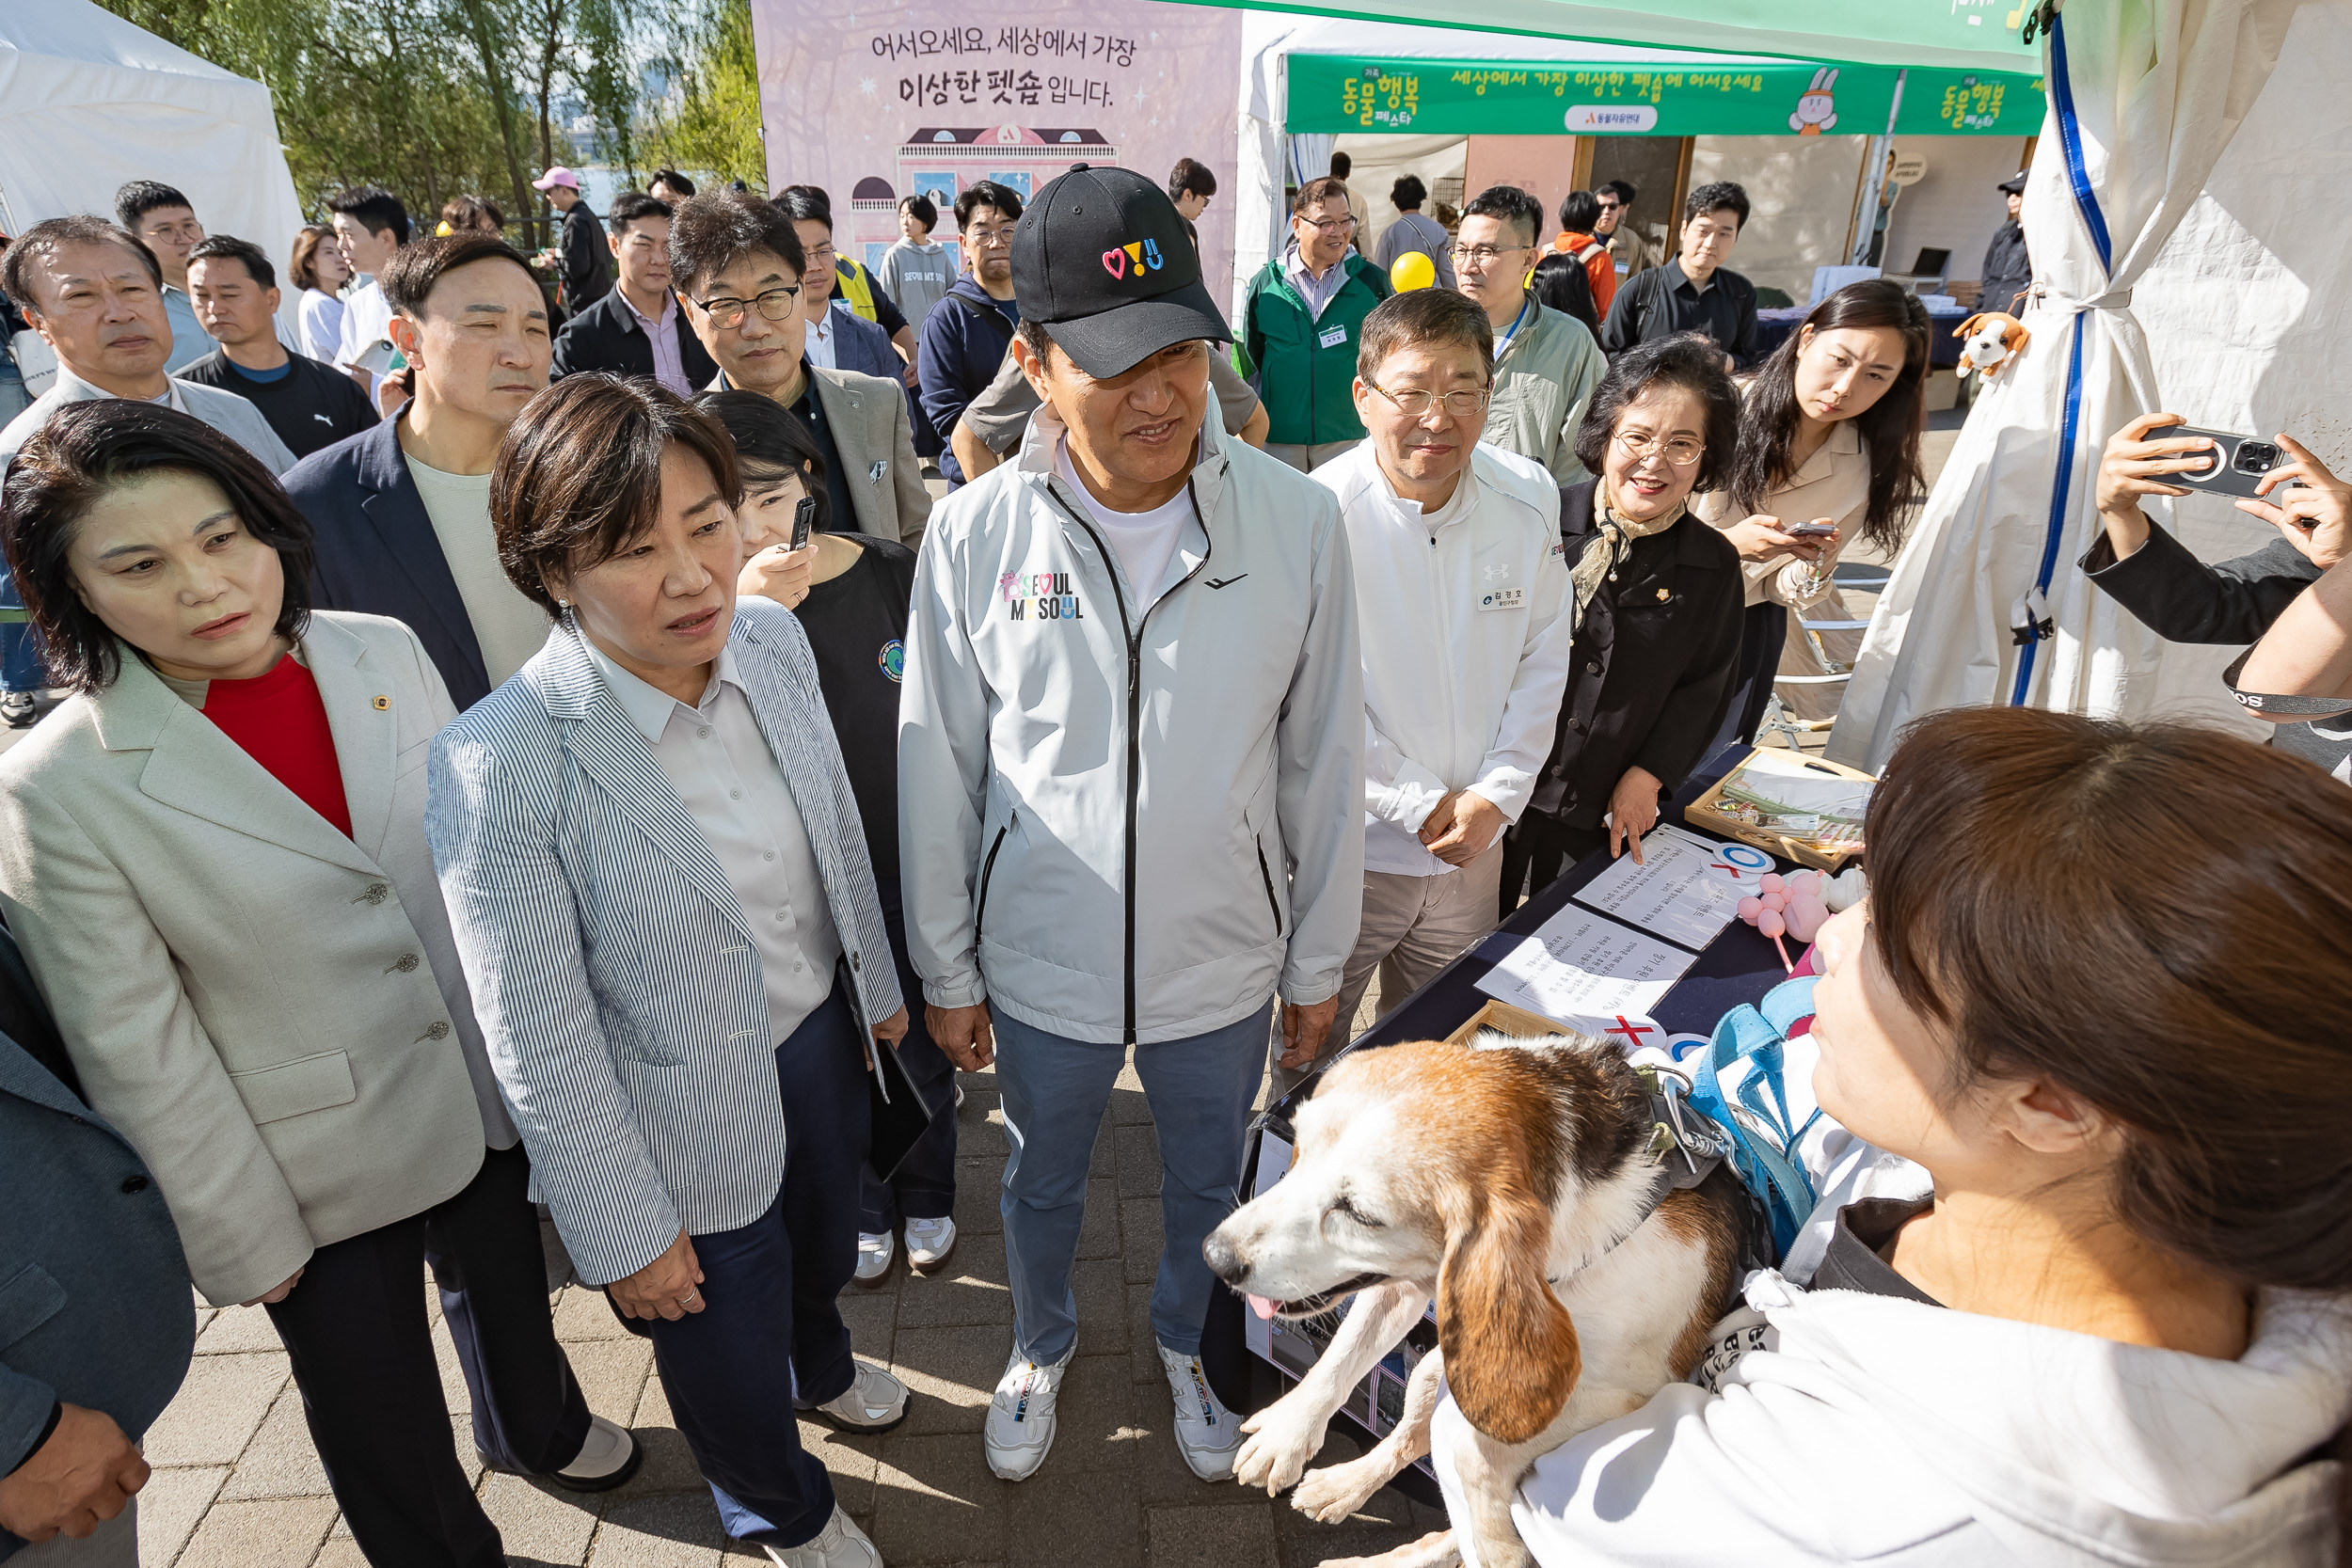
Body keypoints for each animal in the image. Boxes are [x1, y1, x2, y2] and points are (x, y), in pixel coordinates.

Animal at [1214, 1029, 1750, 1568]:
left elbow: (1475, 1452)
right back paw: (1344, 1491)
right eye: (1298, 1153)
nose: (1217, 1256)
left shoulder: (1635, 1392)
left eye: (1361, 1214)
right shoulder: (1406, 1285)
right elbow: (1341, 1358)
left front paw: (1497, 1542)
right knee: (1410, 1439)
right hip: (1437, 1371)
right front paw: (1286, 1437)